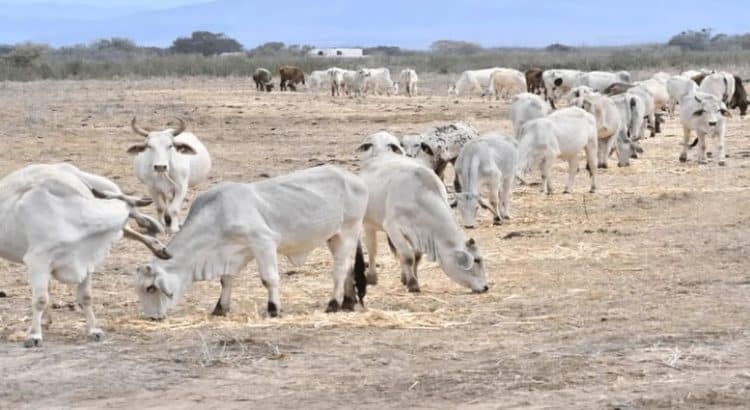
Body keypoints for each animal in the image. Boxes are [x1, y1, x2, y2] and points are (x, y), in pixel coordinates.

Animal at [0, 163, 169, 346]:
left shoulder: (86, 262)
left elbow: (86, 297)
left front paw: (94, 331)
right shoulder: (38, 261)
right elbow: (40, 300)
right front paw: (34, 336)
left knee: (129, 230)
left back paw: (157, 244)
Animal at [137, 165, 372, 318]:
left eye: (150, 288)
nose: (153, 317)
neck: (217, 214)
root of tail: (354, 178)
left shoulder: (264, 243)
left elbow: (269, 279)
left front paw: (274, 308)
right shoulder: (231, 254)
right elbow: (226, 280)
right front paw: (220, 308)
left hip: (349, 230)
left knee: (340, 268)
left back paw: (333, 303)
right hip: (335, 236)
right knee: (349, 266)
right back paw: (348, 302)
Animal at [360, 133, 494, 294]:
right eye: (477, 260)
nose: (486, 287)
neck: (418, 196)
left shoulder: (417, 235)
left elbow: (416, 256)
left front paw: (413, 279)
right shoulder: (393, 228)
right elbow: (407, 256)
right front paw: (412, 284)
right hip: (368, 223)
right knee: (372, 250)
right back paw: (372, 276)